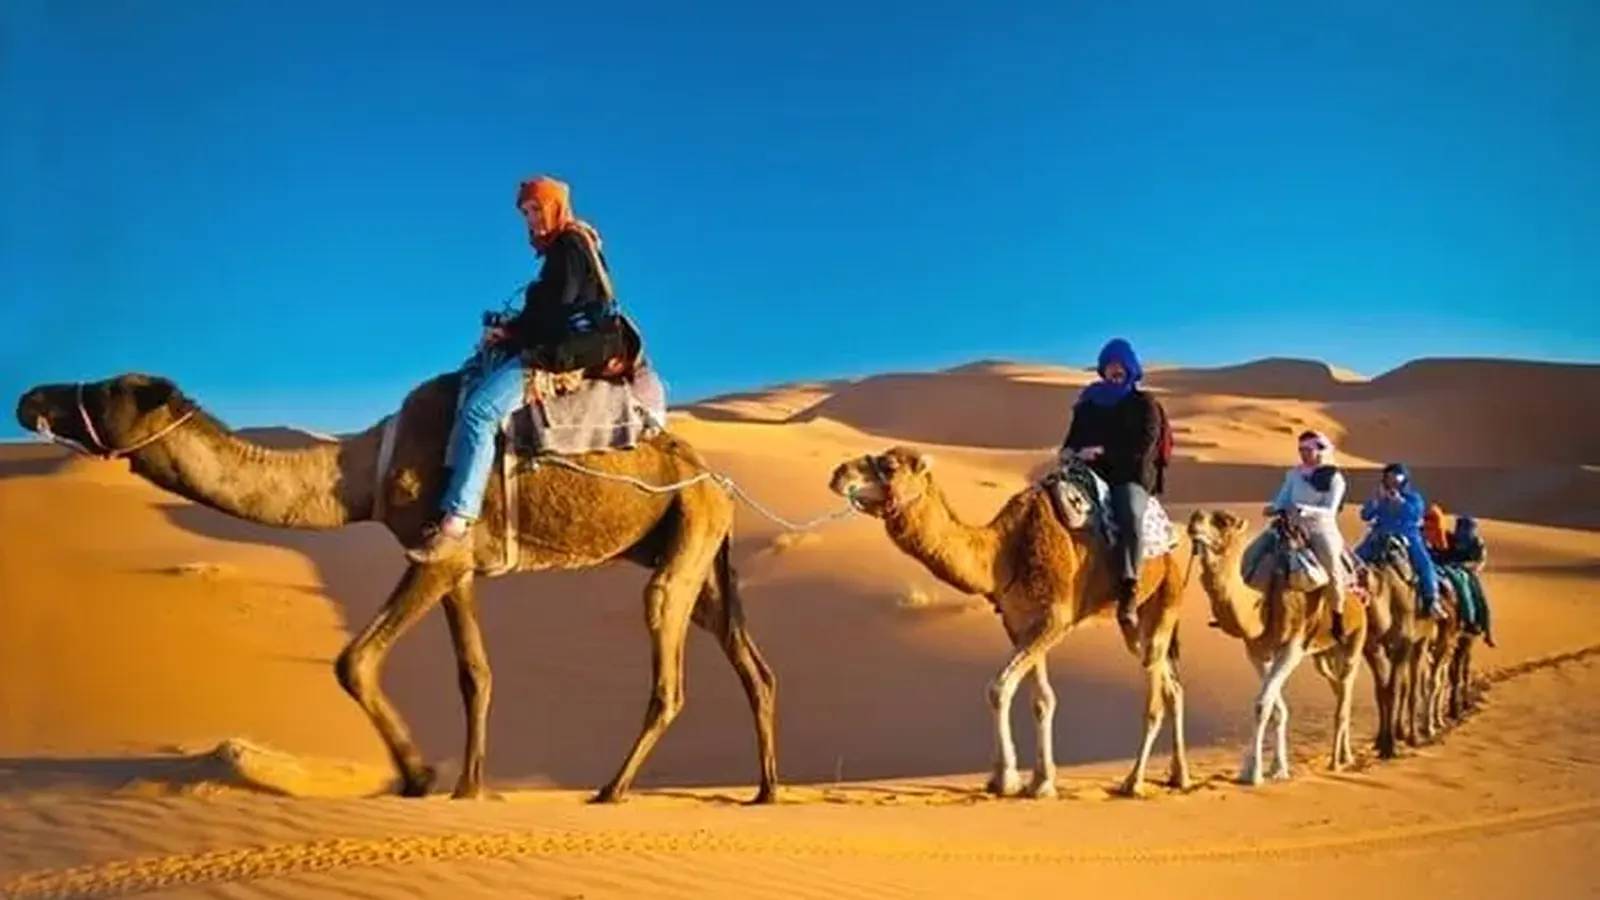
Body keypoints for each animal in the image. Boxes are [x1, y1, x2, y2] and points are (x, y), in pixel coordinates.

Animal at [15, 372, 779, 804]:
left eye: (105, 388)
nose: (28, 399)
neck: (357, 474)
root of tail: (716, 479)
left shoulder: (434, 553)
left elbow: (352, 660)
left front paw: (417, 777)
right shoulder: (460, 563)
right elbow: (475, 673)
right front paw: (469, 787)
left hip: (686, 536)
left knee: (670, 668)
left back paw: (612, 791)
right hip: (701, 549)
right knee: (751, 662)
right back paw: (766, 792)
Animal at [826, 447, 1192, 799]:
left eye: (889, 466)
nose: (838, 474)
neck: (1005, 553)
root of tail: (1171, 552)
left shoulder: (1054, 620)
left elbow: (999, 688)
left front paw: (1006, 779)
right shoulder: (1022, 623)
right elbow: (1042, 700)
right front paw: (1041, 782)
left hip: (1164, 600)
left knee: (1154, 697)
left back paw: (1135, 782)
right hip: (1133, 625)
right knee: (1171, 686)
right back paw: (1179, 775)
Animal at [1185, 510, 1368, 783]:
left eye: (1224, 521)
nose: (1194, 519)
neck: (1262, 605)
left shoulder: (1292, 647)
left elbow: (1263, 704)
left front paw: (1253, 774)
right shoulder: (1256, 651)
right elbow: (1276, 709)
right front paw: (1276, 768)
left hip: (1355, 639)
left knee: (1345, 693)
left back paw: (1338, 761)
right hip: (1324, 655)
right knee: (1339, 690)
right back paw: (1345, 755)